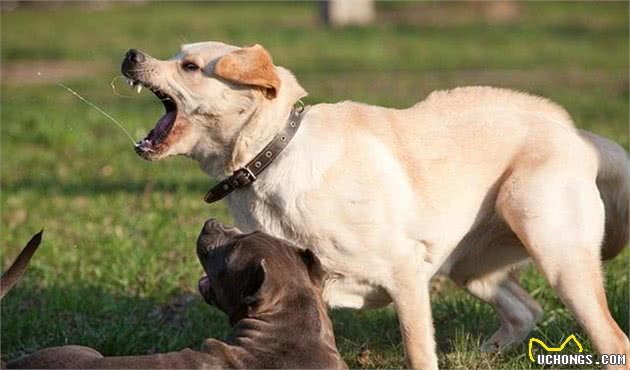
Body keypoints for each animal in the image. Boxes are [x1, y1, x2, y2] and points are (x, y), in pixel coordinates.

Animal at [121, 42, 628, 368]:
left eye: (189, 66)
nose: (131, 56)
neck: (272, 156)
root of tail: (576, 134)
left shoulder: (406, 275)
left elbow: (419, 353)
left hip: (551, 246)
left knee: (612, 338)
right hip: (469, 266)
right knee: (526, 310)